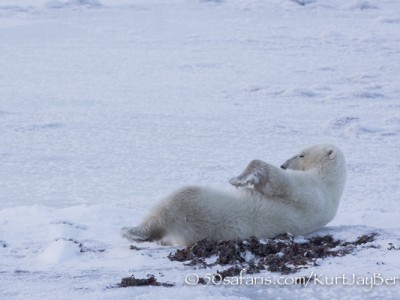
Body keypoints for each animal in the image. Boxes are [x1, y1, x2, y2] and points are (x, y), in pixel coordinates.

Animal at [122, 144, 346, 245]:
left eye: (301, 154)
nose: (284, 164)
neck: (330, 184)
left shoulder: (310, 192)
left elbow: (276, 180)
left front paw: (237, 180)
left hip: (199, 209)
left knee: (178, 199)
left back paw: (133, 231)